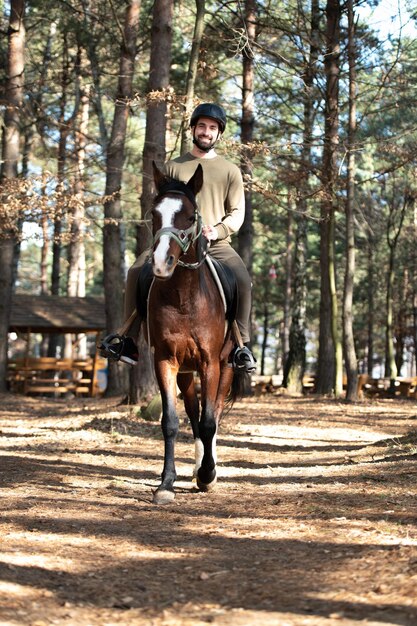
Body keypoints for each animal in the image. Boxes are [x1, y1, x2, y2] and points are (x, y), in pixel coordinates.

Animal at [145, 161, 247, 502]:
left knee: (213, 412)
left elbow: (210, 421)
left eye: (190, 216)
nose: (161, 263)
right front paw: (166, 483)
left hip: (226, 365)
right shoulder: (165, 361)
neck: (183, 298)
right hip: (186, 373)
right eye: (154, 214)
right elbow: (172, 422)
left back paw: (208, 469)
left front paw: (208, 474)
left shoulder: (210, 363)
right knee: (194, 413)